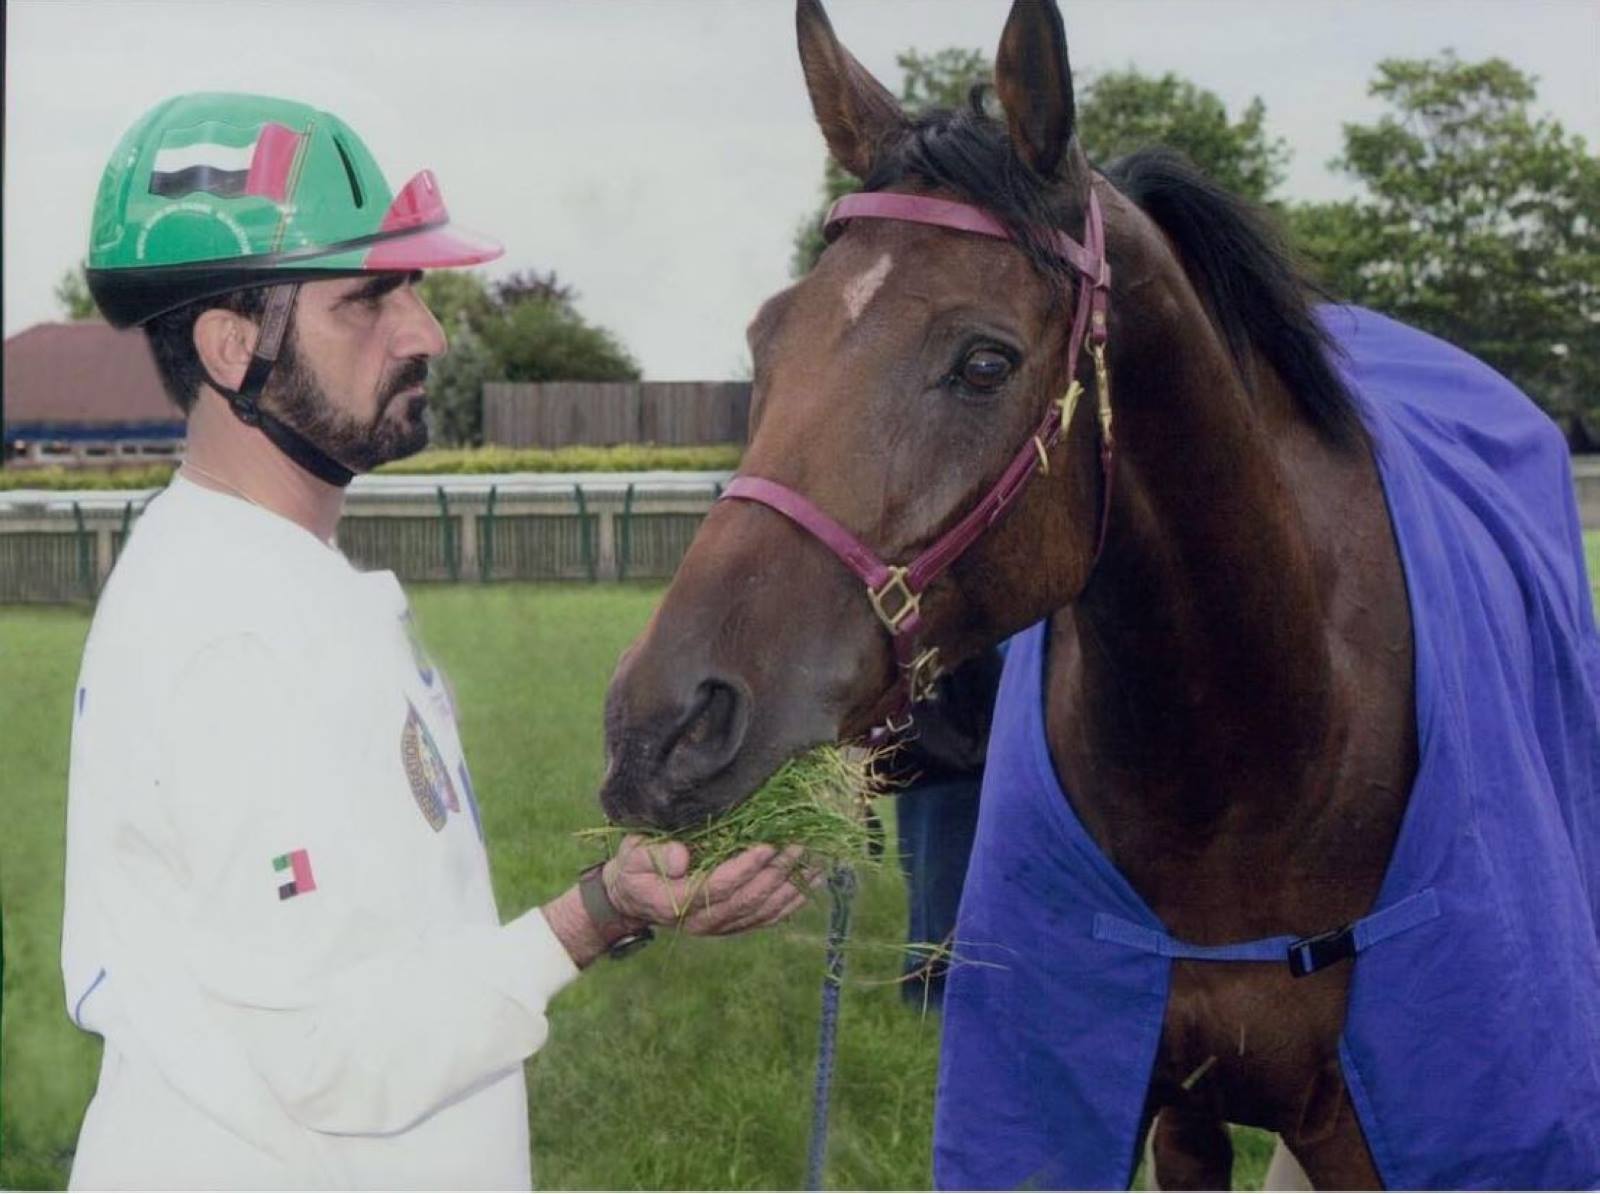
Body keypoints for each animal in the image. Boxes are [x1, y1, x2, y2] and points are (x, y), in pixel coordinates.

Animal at [601, 0, 1600, 1184]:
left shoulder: (1363, 1129)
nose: (657, 730)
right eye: (769, 335)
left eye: (985, 362)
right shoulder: (1170, 1111)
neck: (1256, 766)